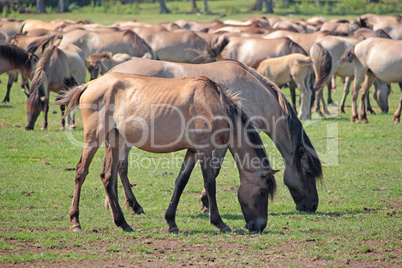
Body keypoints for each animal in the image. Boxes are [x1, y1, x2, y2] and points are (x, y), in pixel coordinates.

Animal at [55, 72, 280, 233]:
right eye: (263, 192)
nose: (260, 226)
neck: (214, 103)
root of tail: (89, 85)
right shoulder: (204, 150)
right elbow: (210, 184)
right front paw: (219, 223)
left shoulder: (192, 151)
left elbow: (180, 182)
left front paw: (171, 222)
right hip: (93, 138)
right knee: (81, 172)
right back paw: (75, 221)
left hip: (115, 140)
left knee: (107, 176)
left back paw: (123, 223)